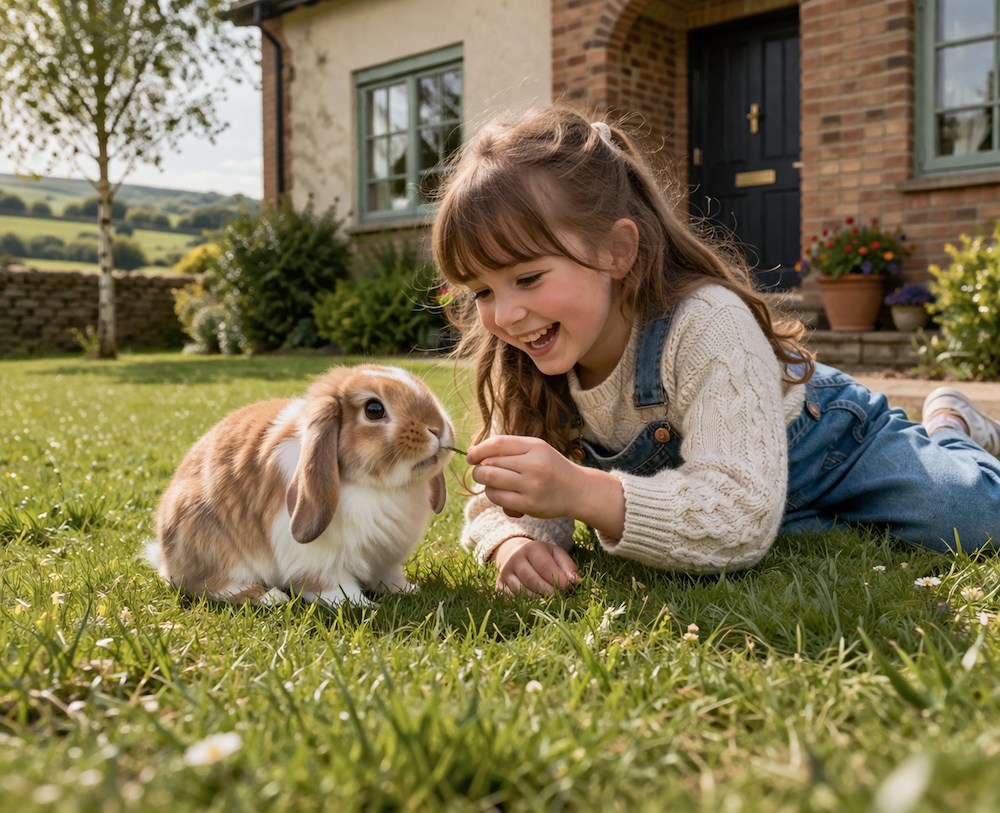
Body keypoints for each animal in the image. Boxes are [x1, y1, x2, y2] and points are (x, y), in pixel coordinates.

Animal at [145, 363, 455, 607]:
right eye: (374, 410)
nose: (438, 429)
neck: (380, 488)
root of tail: (166, 557)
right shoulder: (316, 559)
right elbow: (332, 586)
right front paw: (361, 605)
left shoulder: (385, 560)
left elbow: (388, 577)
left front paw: (406, 590)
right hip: (211, 542)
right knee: (207, 586)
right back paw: (270, 597)